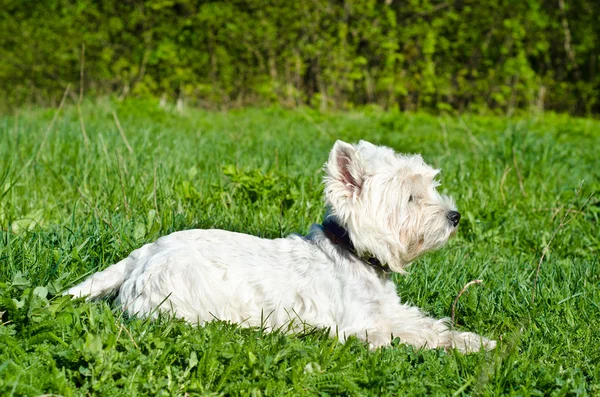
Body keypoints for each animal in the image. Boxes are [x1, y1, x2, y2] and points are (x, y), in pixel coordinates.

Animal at [67, 141, 496, 352]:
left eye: (430, 186)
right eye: (410, 197)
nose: (455, 216)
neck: (353, 254)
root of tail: (143, 253)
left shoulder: (391, 310)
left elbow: (429, 325)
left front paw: (476, 340)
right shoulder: (359, 327)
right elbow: (411, 337)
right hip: (185, 297)